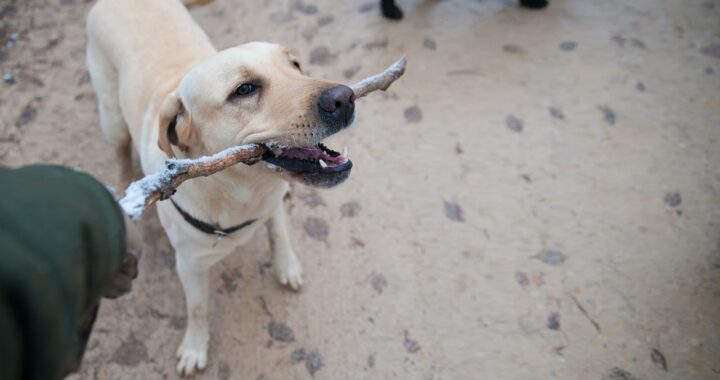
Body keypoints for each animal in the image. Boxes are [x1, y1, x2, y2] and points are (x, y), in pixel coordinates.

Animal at [86, 0, 354, 374]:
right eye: (244, 89)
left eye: (296, 64)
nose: (346, 97)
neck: (242, 192)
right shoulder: (189, 265)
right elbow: (198, 309)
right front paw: (195, 347)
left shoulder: (271, 205)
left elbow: (279, 234)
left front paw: (286, 266)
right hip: (110, 116)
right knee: (120, 151)